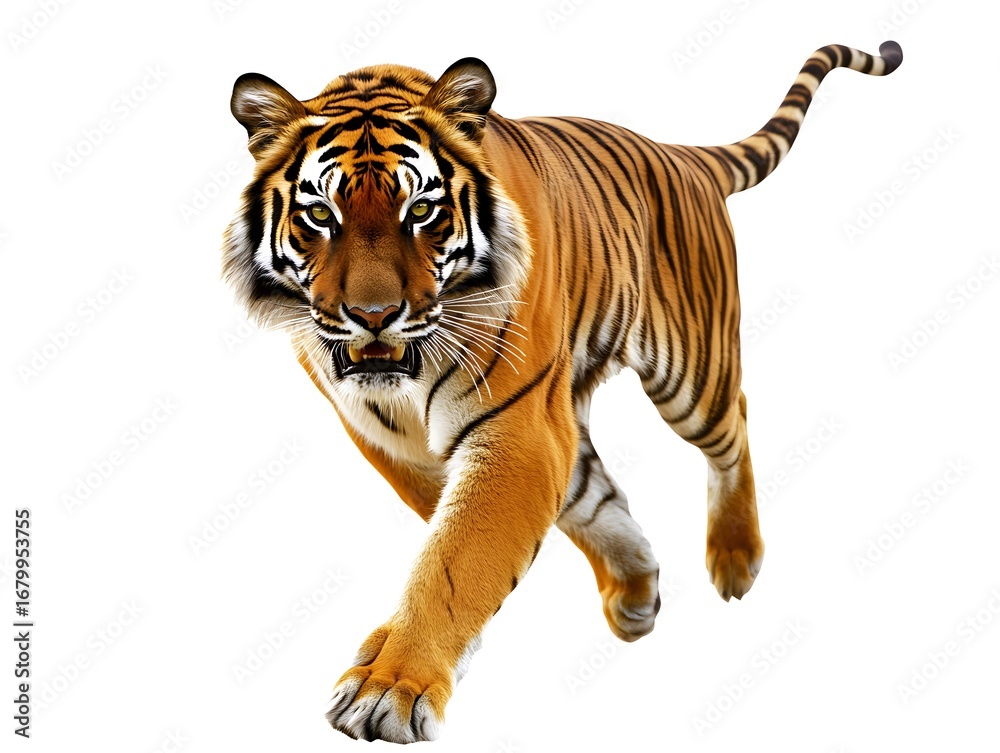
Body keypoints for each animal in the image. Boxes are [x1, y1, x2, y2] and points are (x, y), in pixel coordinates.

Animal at [222, 40, 902, 742]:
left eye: (422, 211)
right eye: (319, 215)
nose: (373, 315)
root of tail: (680, 153)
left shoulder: (514, 431)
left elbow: (455, 562)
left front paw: (391, 687)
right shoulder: (403, 442)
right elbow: (469, 543)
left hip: (692, 373)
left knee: (733, 420)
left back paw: (735, 556)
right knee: (597, 495)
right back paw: (635, 591)